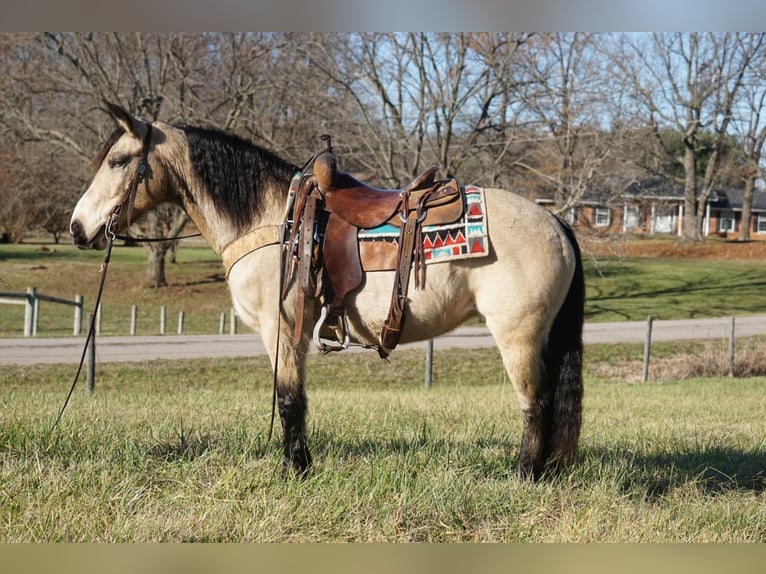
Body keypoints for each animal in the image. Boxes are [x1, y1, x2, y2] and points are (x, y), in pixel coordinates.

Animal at [70, 103, 585, 481]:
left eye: (118, 161)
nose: (77, 227)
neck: (271, 220)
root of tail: (555, 221)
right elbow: (295, 400)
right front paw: (299, 465)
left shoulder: (280, 329)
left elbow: (288, 399)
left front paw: (293, 471)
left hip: (518, 336)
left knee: (535, 403)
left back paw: (523, 475)